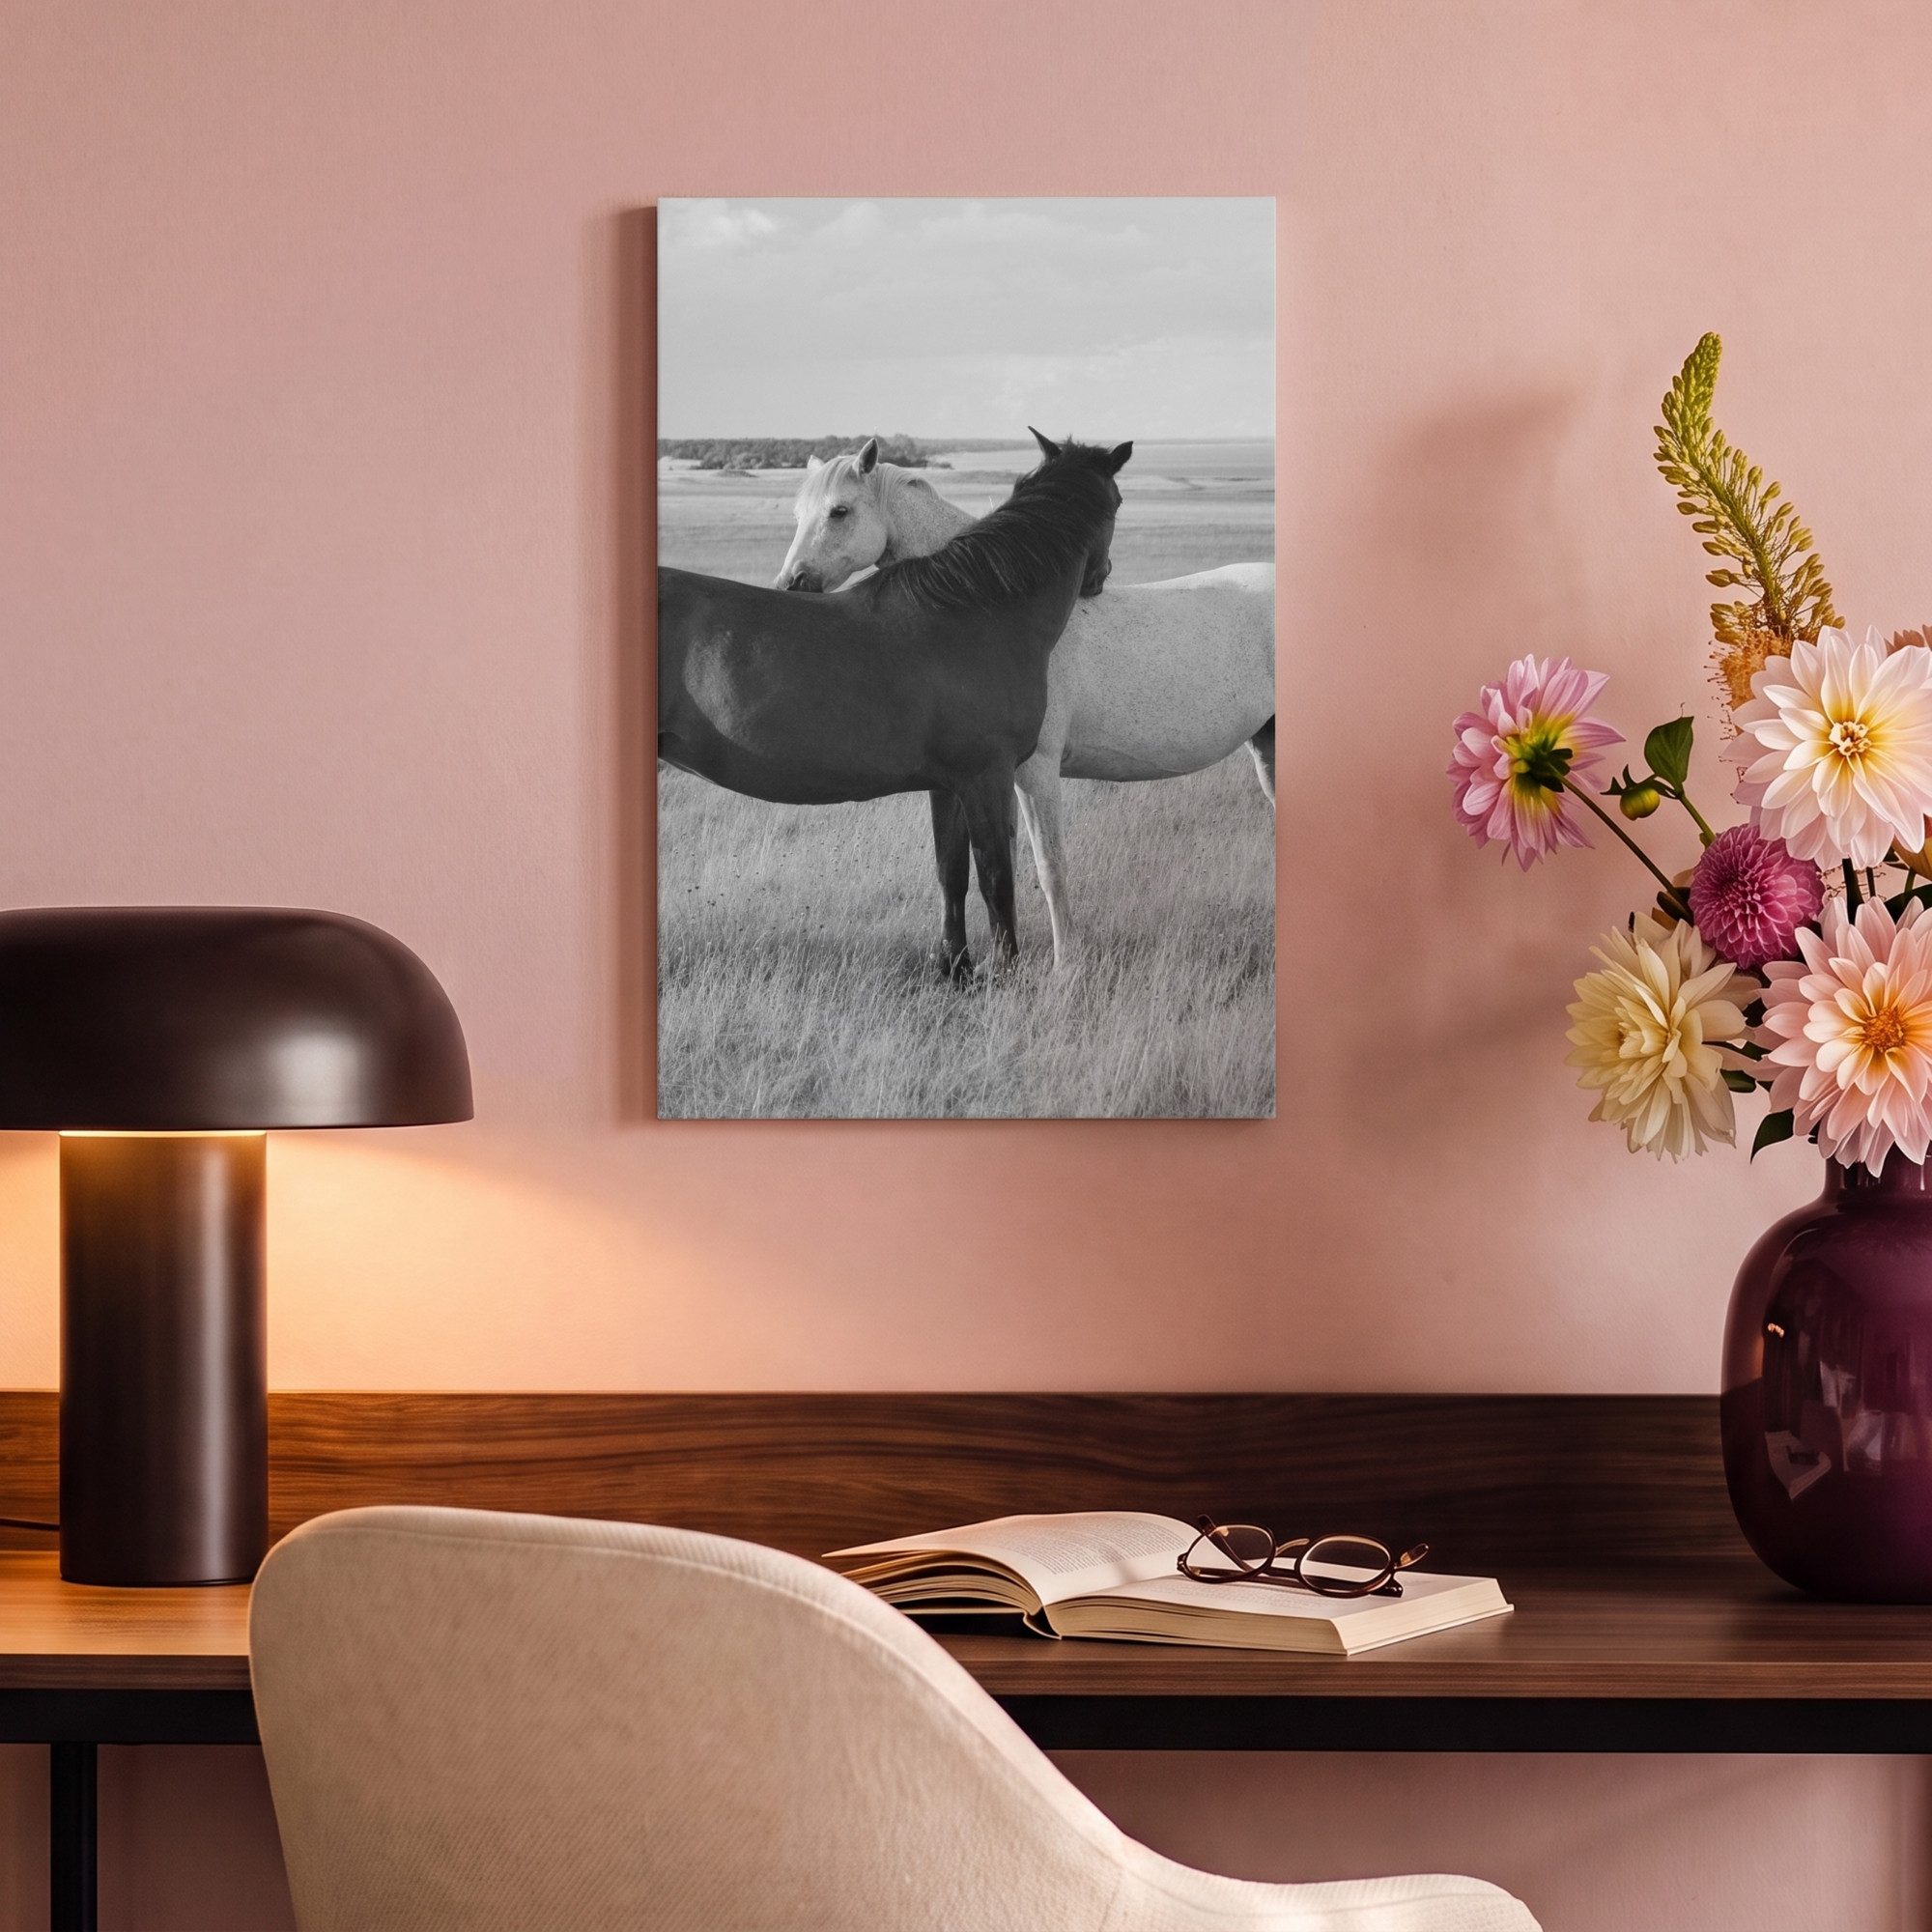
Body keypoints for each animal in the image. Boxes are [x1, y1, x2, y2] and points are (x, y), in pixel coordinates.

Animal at [660, 433, 1129, 978]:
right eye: (1118, 501)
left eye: (837, 511)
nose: (1100, 577)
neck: (979, 609)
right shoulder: (988, 776)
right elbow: (997, 878)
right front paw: (1006, 973)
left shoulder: (949, 784)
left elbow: (951, 872)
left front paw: (957, 969)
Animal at [777, 437, 1274, 969]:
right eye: (797, 513)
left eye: (840, 511)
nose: (791, 584)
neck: (993, 607)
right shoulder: (976, 779)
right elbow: (975, 867)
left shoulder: (1033, 773)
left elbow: (1047, 867)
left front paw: (1065, 965)